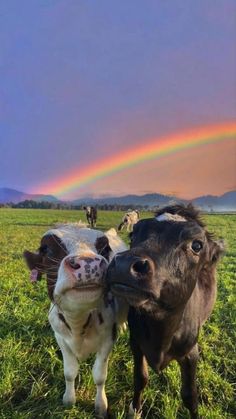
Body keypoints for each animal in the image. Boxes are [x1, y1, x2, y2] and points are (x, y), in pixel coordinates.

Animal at [24, 225, 127, 418]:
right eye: (46, 249)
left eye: (105, 249)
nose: (89, 263)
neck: (78, 324)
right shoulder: (60, 338)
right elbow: (69, 372)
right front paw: (69, 400)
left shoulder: (108, 338)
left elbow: (99, 375)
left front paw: (101, 405)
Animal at [107, 205, 225, 418]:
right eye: (133, 234)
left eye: (197, 245)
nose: (124, 264)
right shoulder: (136, 343)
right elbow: (141, 378)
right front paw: (135, 409)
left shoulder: (190, 353)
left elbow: (190, 396)